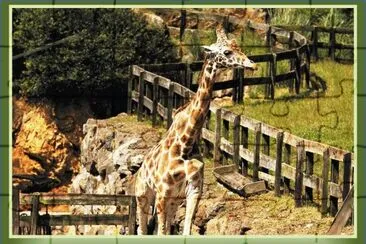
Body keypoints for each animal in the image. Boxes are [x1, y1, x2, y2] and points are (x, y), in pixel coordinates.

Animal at [134, 24, 258, 234]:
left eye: (238, 46)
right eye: (227, 51)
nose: (252, 64)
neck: (186, 143)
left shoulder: (193, 191)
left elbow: (185, 229)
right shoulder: (162, 193)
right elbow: (161, 232)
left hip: (174, 201)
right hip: (143, 195)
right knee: (142, 229)